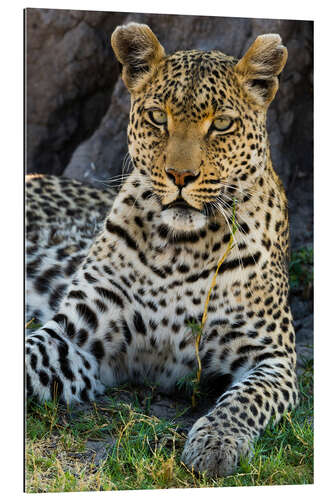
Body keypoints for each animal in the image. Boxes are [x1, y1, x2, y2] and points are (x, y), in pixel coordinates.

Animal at [24, 23, 296, 476]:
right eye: (157, 117)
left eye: (222, 124)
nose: (180, 176)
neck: (182, 249)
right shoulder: (78, 335)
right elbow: (26, 355)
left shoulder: (275, 358)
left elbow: (246, 399)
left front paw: (215, 442)